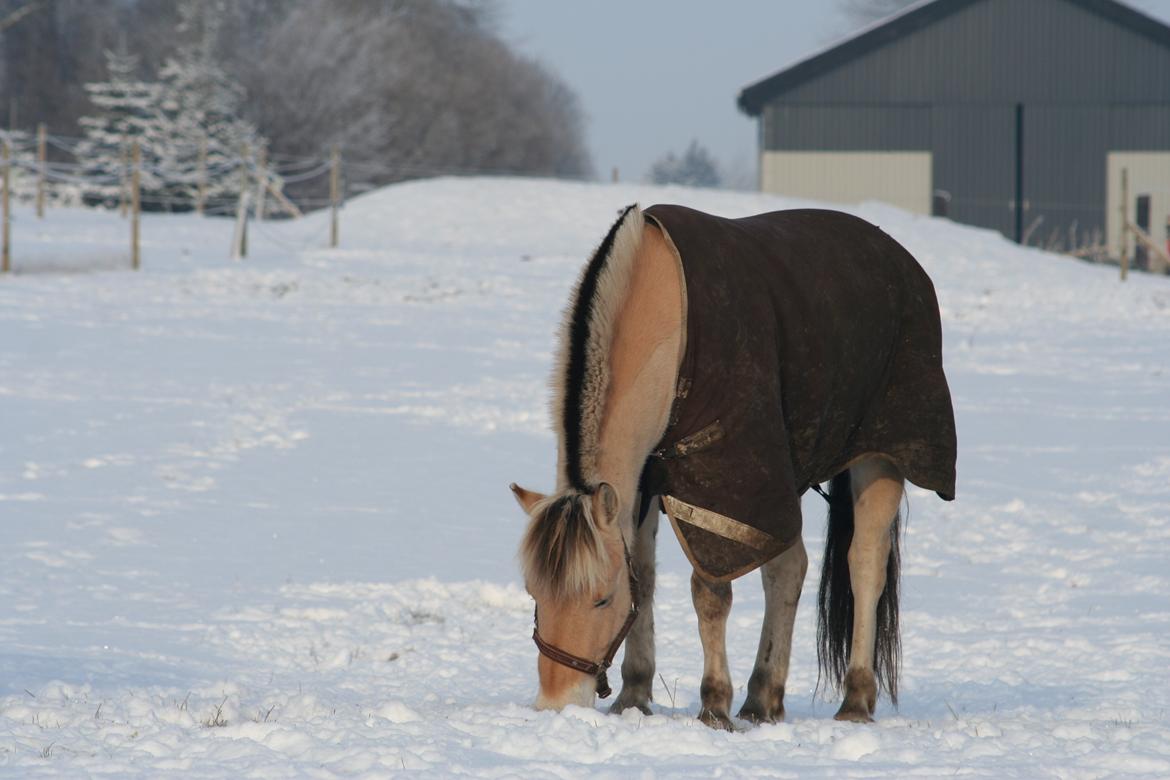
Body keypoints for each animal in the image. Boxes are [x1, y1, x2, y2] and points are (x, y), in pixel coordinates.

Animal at [507, 204, 954, 729]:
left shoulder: (722, 487)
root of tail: (900, 258)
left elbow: (710, 592)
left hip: (879, 456)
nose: (556, 704)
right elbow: (646, 575)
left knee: (865, 563)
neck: (666, 315)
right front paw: (635, 695)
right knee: (789, 569)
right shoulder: (648, 482)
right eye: (534, 593)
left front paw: (714, 704)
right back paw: (763, 699)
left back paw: (855, 701)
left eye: (600, 598)